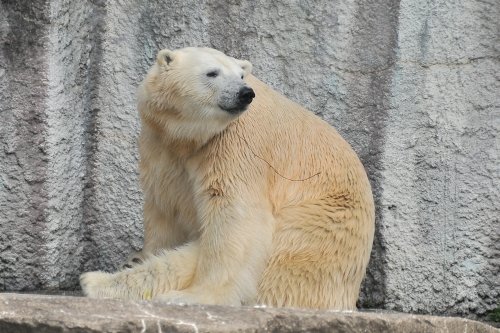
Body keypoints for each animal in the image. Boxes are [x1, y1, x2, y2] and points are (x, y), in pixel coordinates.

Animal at [79, 46, 376, 308]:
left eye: (242, 75)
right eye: (212, 73)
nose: (245, 93)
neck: (189, 137)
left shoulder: (236, 144)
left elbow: (234, 217)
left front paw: (198, 296)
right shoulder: (159, 144)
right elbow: (166, 209)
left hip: (316, 230)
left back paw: (99, 282)